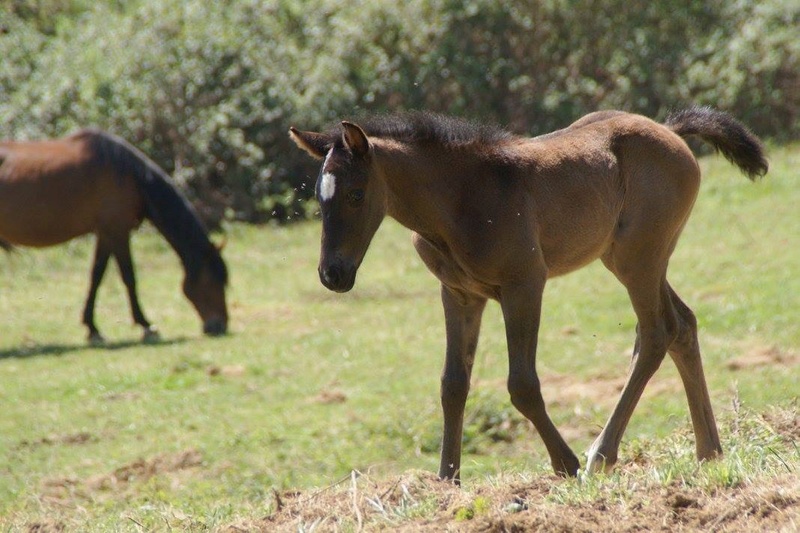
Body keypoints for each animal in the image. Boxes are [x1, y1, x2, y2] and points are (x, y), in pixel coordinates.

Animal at [0, 129, 228, 340]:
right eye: (213, 282)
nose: (220, 326)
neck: (130, 175)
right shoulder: (117, 232)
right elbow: (129, 277)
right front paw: (145, 325)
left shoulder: (105, 233)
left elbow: (97, 276)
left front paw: (92, 328)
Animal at [290, 106, 764, 480]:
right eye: (319, 198)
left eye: (356, 194)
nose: (332, 274)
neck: (460, 200)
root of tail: (670, 131)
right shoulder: (459, 294)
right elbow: (453, 384)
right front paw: (447, 478)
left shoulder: (524, 285)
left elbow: (522, 384)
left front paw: (566, 464)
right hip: (629, 258)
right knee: (682, 325)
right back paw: (709, 451)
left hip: (639, 259)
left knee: (655, 334)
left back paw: (600, 455)